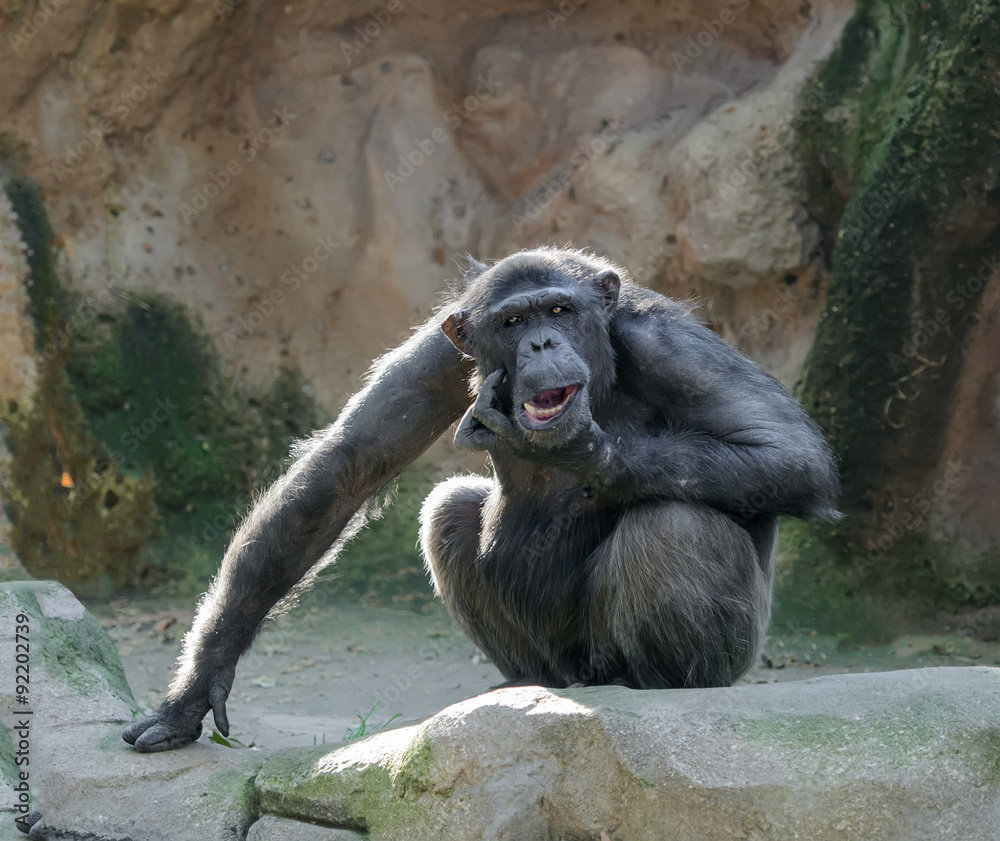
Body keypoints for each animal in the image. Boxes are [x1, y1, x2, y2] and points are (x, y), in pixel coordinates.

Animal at [127, 246, 844, 752]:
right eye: (513, 320)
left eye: (558, 312)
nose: (542, 343)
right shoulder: (439, 354)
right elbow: (344, 467)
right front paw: (198, 685)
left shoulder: (670, 343)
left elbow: (785, 449)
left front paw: (583, 450)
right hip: (550, 655)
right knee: (447, 510)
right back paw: (522, 685)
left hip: (712, 654)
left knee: (675, 523)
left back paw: (658, 687)